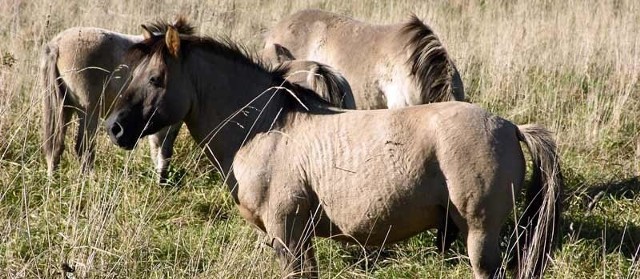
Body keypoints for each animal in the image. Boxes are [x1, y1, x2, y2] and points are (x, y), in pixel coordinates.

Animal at [38, 21, 356, 184]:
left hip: (67, 110)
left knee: (57, 146)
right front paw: (161, 180)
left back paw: (55, 182)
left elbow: (159, 147)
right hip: (87, 112)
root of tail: (57, 43)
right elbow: (162, 149)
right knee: (80, 148)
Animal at [106, 20, 564, 278]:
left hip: (480, 236)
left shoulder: (287, 235)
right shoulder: (297, 239)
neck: (267, 129)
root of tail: (510, 127)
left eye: (156, 79)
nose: (115, 128)